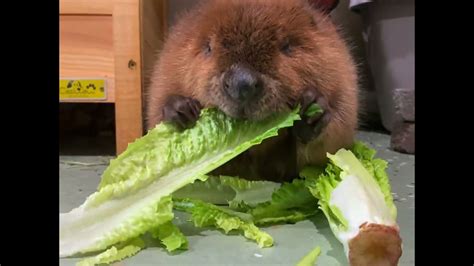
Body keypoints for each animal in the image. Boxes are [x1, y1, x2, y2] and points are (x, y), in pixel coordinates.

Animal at [146, 0, 358, 182]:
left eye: (286, 46)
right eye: (208, 47)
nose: (241, 84)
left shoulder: (341, 78)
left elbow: (332, 146)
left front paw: (312, 111)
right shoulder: (169, 66)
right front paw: (180, 109)